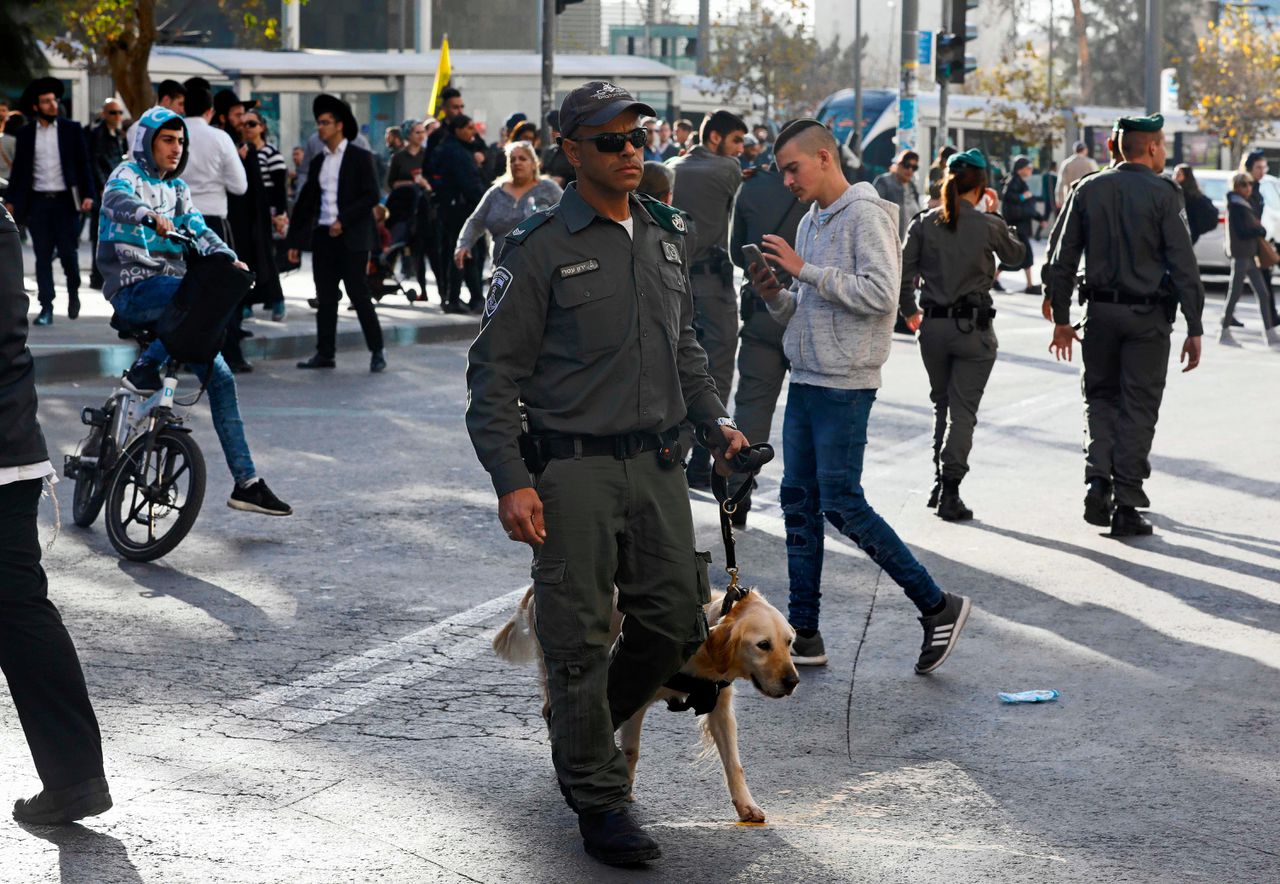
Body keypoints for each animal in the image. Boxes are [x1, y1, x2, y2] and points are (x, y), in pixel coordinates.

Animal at [463, 79, 747, 869]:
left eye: (635, 133)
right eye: (611, 137)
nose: (636, 149)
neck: (616, 221)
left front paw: (725, 441)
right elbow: (496, 364)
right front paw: (602, 795)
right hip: (567, 536)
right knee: (580, 647)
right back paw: (594, 794)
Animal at [491, 588, 798, 823]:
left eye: (789, 642)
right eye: (763, 645)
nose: (793, 681)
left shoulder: (720, 707)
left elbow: (734, 762)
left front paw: (746, 805)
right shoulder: (636, 694)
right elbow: (631, 751)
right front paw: (622, 792)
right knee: (554, 710)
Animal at [901, 149, 1029, 521]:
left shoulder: (914, 231)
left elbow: (906, 270)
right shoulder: (996, 230)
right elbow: (1014, 251)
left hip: (934, 351)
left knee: (942, 413)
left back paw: (938, 489)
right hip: (977, 355)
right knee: (963, 419)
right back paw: (952, 500)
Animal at [1044, 113, 1203, 534]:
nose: (1162, 155)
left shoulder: (1075, 203)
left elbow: (1062, 253)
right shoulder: (1172, 204)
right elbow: (1184, 267)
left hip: (1100, 341)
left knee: (1097, 404)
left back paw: (1099, 497)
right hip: (1144, 346)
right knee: (1141, 409)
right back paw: (1130, 512)